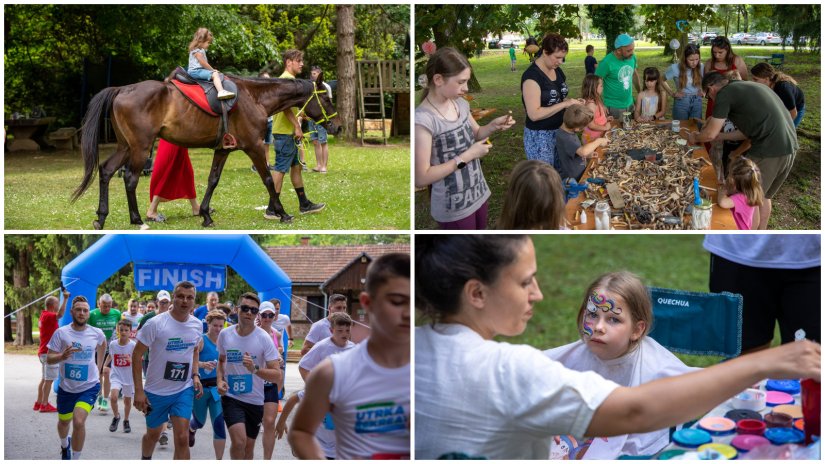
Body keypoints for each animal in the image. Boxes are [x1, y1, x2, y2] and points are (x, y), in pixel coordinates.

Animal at [72, 73, 340, 229]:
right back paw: (136, 219)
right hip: (140, 147)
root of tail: (122, 89)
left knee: (106, 171)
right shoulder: (254, 147)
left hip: (126, 147)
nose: (337, 126)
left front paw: (205, 214)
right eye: (327, 100)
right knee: (130, 178)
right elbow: (267, 180)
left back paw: (102, 216)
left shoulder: (223, 150)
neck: (254, 97)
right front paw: (282, 213)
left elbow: (213, 180)